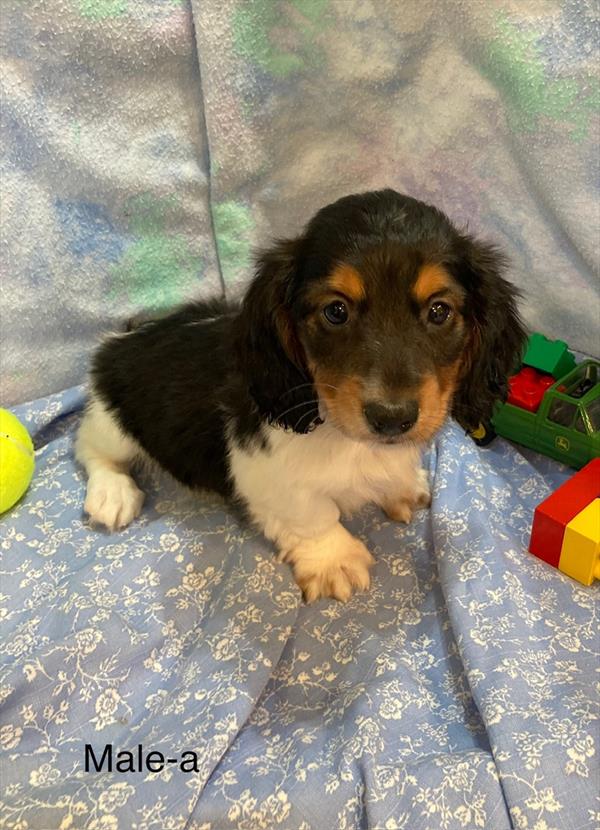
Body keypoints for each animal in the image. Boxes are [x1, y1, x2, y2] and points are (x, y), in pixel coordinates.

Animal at [76, 191, 524, 600]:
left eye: (439, 311)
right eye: (336, 311)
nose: (392, 418)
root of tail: (123, 338)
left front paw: (399, 486)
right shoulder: (262, 471)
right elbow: (311, 514)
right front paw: (334, 559)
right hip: (111, 422)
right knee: (89, 448)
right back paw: (112, 493)